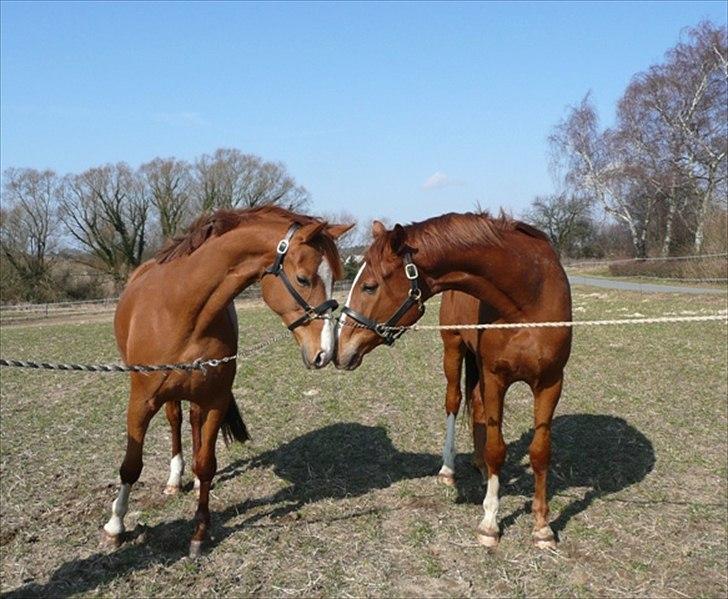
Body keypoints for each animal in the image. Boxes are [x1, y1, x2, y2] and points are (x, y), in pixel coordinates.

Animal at [104, 206, 352, 556]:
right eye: (303, 278)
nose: (326, 352)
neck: (182, 310)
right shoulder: (141, 402)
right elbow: (130, 466)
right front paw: (115, 525)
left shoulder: (215, 400)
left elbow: (207, 464)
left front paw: (199, 532)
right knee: (175, 420)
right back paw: (174, 480)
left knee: (193, 422)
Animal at [338, 213, 572, 552]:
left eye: (369, 286)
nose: (339, 348)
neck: (528, 298)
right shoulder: (495, 377)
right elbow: (497, 449)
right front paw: (489, 523)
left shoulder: (550, 383)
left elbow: (540, 452)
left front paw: (542, 527)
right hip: (454, 349)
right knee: (455, 401)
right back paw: (449, 469)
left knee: (476, 406)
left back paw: (479, 464)